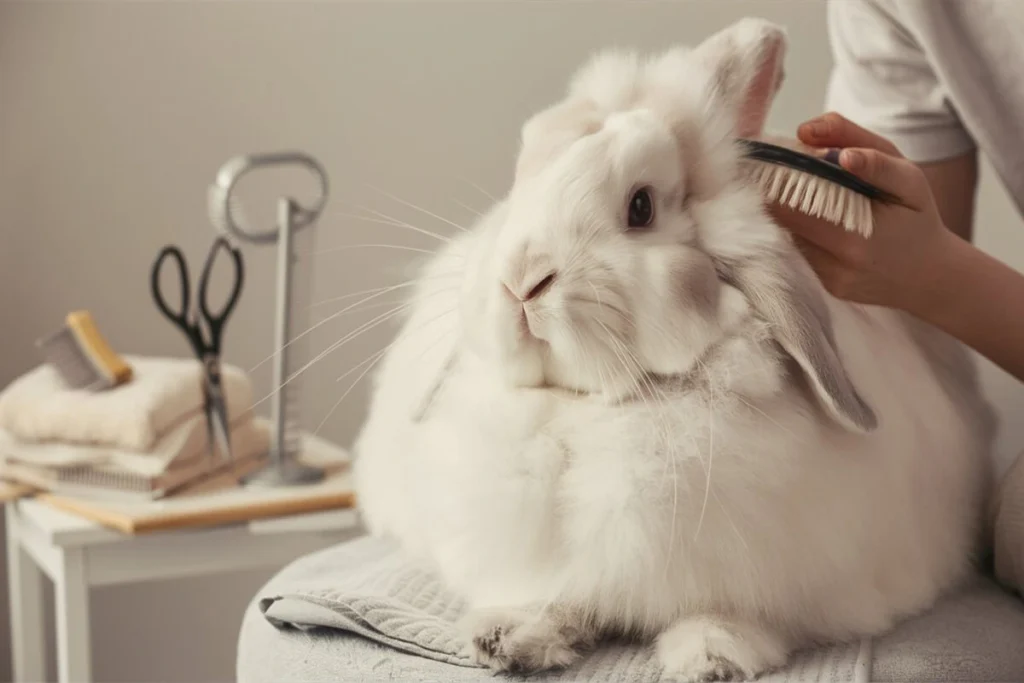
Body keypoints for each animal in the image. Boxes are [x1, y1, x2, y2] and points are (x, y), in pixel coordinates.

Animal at [348, 17, 995, 683]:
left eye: (641, 207)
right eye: (525, 178)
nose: (521, 279)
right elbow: (555, 588)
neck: (592, 408)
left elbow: (736, 608)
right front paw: (508, 634)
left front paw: (713, 654)